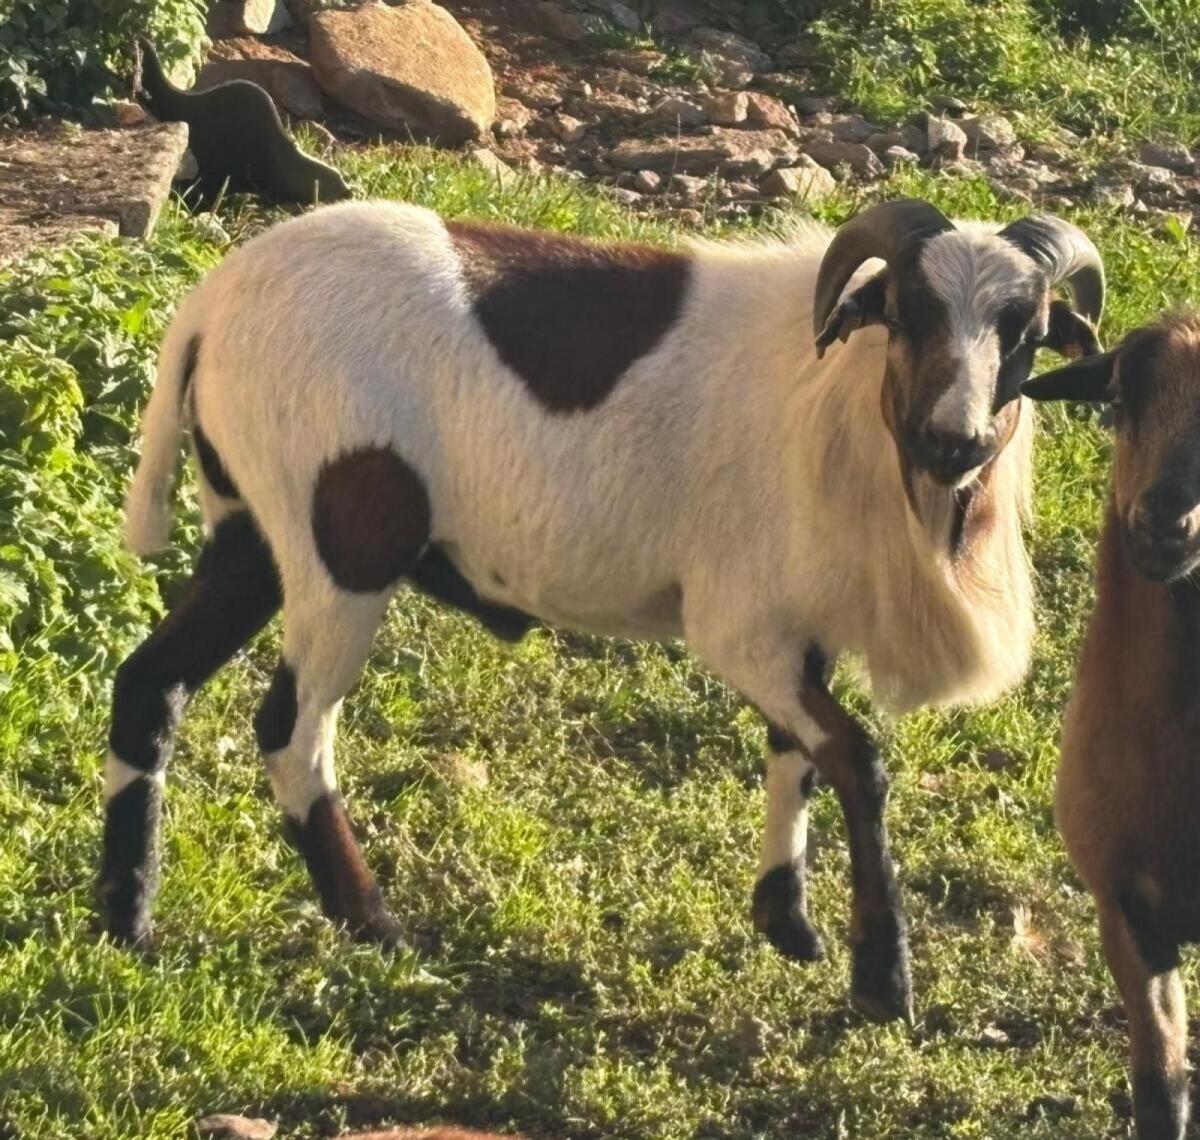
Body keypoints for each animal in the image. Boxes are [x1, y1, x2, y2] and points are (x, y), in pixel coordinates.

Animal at [99, 197, 1104, 1022]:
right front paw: (880, 982)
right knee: (291, 729)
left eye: (1025, 332)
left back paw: (127, 920)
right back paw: (375, 924)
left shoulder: (791, 627)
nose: (954, 441)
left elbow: (798, 758)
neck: (839, 408)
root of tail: (209, 307)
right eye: (907, 313)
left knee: (151, 683)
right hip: (344, 546)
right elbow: (857, 762)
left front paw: (787, 923)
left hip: (248, 530)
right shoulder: (739, 629)